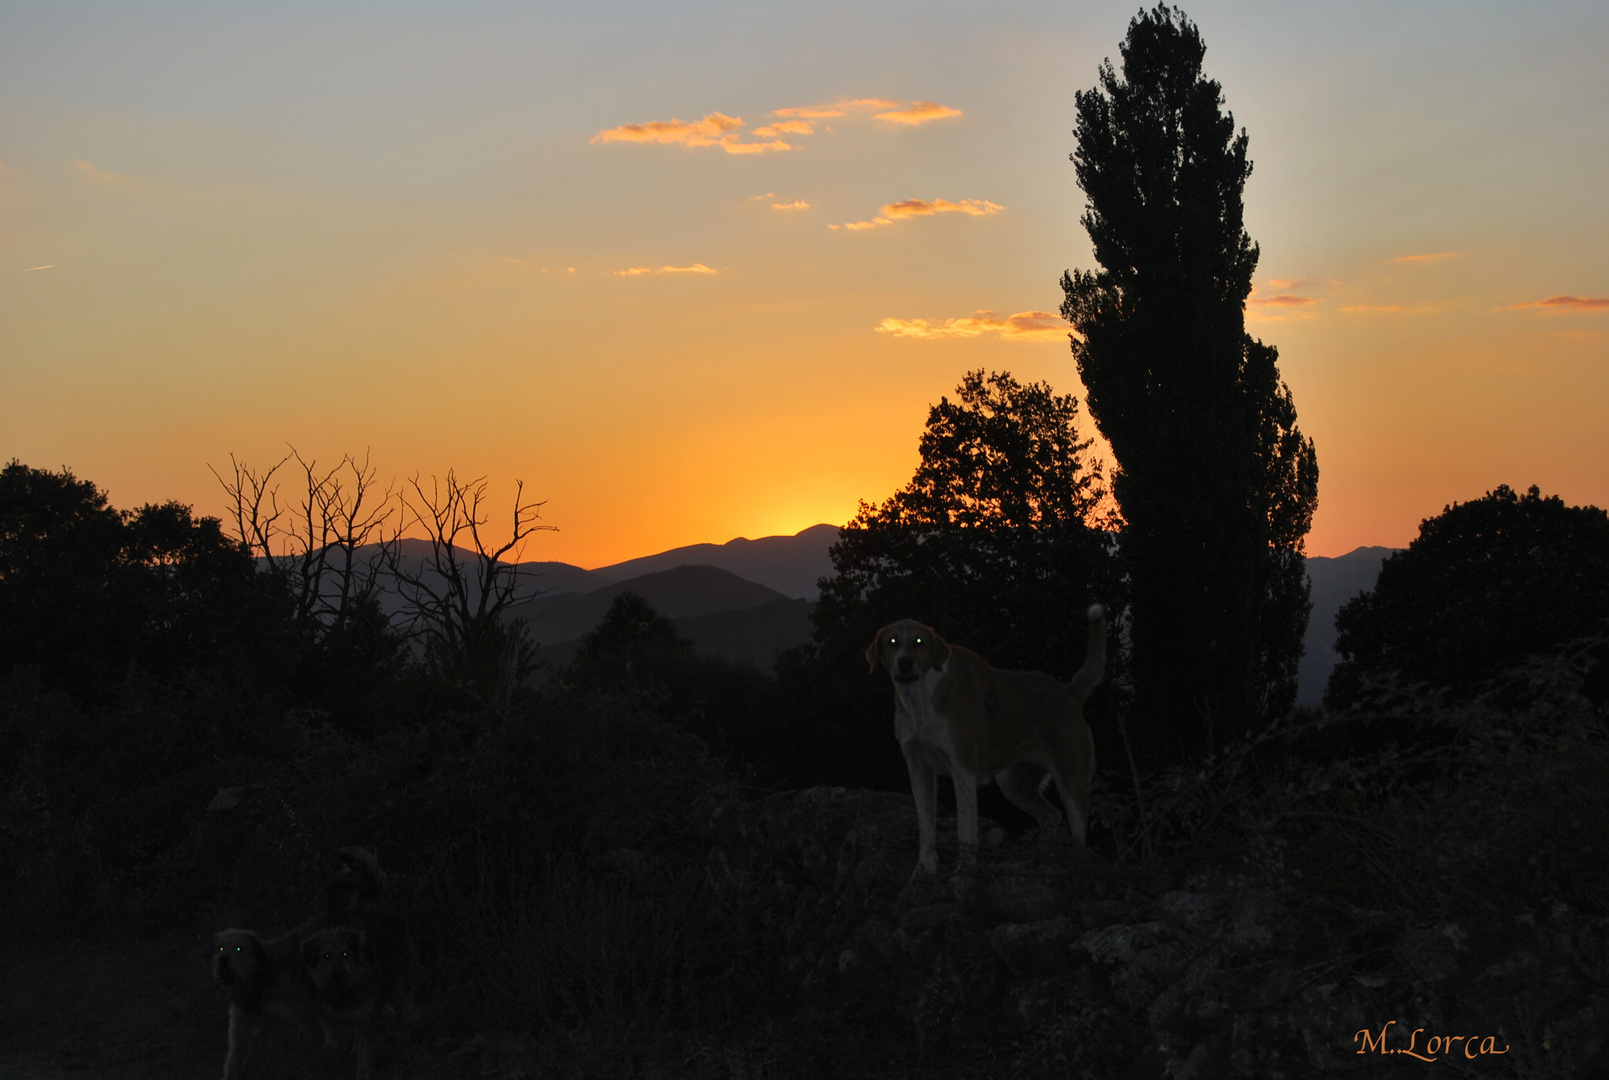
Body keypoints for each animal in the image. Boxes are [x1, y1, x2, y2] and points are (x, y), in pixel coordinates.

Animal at [868, 608, 1106, 875]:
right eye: (892, 641)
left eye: (919, 641)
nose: (905, 662)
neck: (921, 697)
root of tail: (1069, 691)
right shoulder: (919, 768)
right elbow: (926, 825)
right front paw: (926, 866)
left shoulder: (963, 770)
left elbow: (966, 830)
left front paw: (963, 872)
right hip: (1014, 784)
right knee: (1051, 815)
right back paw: (1042, 856)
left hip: (1072, 782)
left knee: (1076, 827)